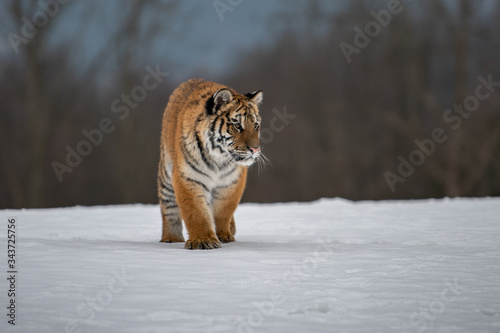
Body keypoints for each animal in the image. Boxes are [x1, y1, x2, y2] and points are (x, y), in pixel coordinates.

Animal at [158, 78, 264, 249]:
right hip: (166, 179)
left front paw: (223, 235)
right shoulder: (189, 178)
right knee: (170, 211)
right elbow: (197, 213)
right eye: (237, 125)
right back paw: (171, 239)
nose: (255, 149)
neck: (218, 159)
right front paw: (204, 240)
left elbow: (223, 211)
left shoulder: (231, 183)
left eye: (256, 125)